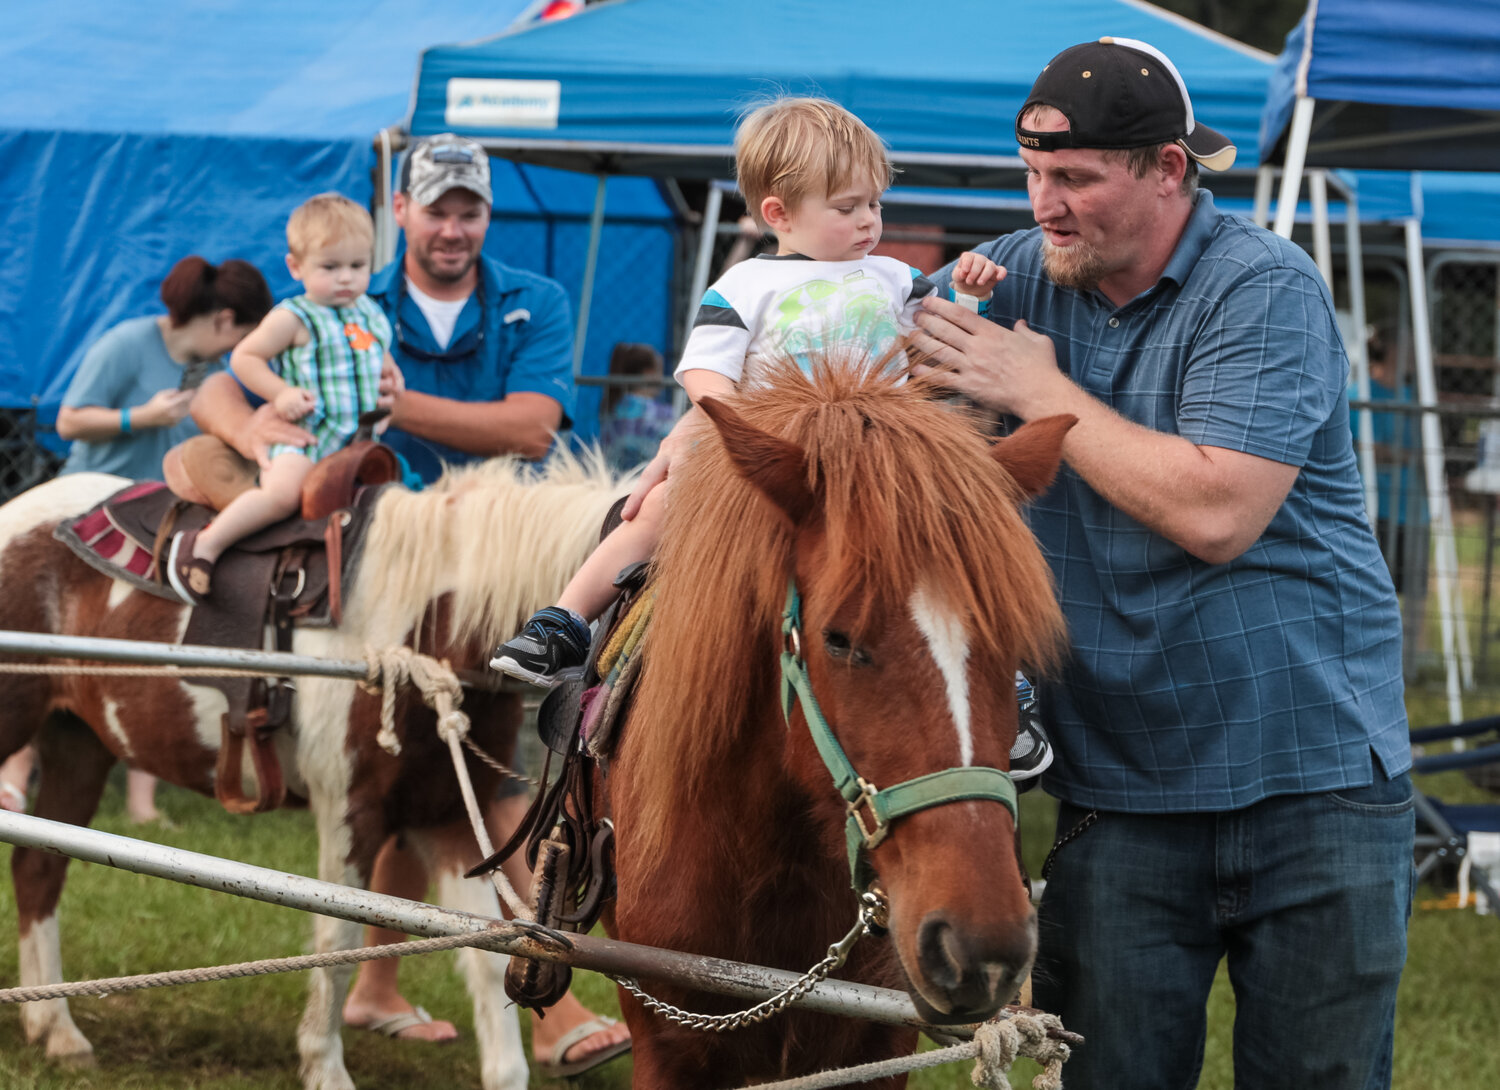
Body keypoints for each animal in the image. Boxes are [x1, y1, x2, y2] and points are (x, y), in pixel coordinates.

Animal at [0, 452, 627, 1090]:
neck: (430, 626)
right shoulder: (352, 812)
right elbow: (339, 933)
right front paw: (324, 1067)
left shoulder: (450, 819)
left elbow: (484, 949)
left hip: (78, 745)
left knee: (37, 869)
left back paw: (57, 1030)